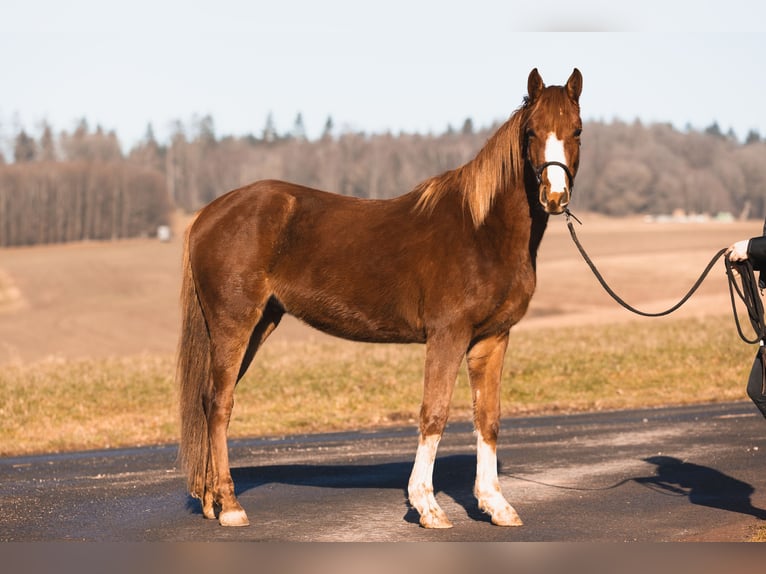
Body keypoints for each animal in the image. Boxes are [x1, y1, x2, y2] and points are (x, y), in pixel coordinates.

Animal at [177, 67, 584, 532]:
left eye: (577, 130)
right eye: (531, 132)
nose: (554, 198)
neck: (483, 231)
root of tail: (209, 214)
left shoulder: (492, 338)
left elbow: (488, 419)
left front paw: (496, 504)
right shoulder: (448, 335)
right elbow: (434, 413)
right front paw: (427, 506)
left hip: (259, 323)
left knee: (209, 400)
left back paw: (211, 501)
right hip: (234, 324)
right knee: (220, 404)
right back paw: (230, 506)